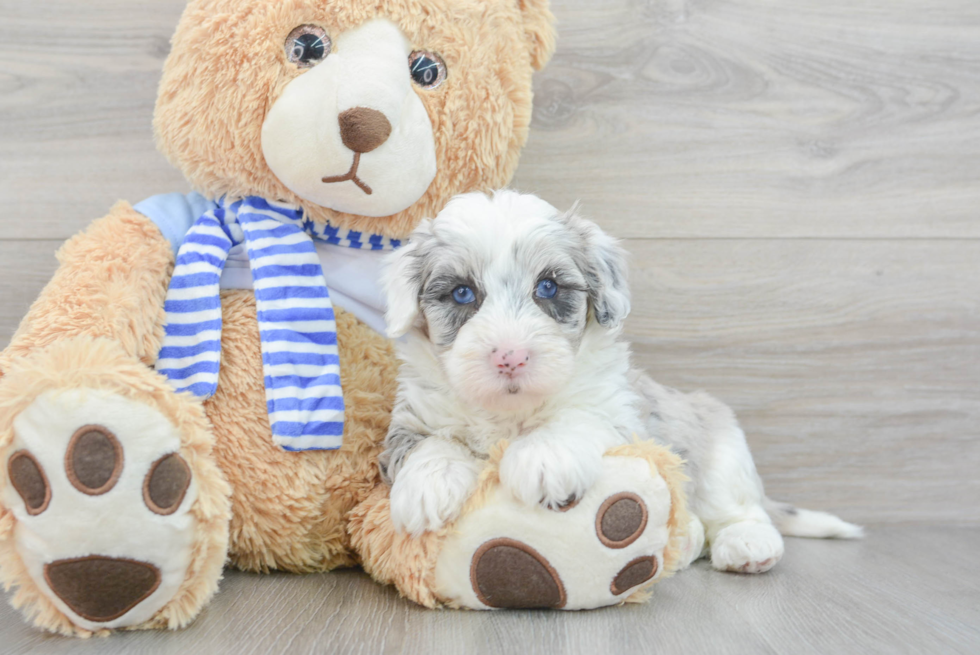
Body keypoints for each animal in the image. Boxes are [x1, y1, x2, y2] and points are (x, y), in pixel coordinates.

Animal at [378, 190, 860, 576]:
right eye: (462, 293)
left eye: (548, 287)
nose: (511, 356)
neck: (510, 414)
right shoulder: (409, 420)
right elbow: (427, 443)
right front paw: (429, 484)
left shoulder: (618, 413)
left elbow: (577, 419)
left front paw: (542, 458)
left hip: (722, 448)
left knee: (738, 510)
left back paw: (747, 544)